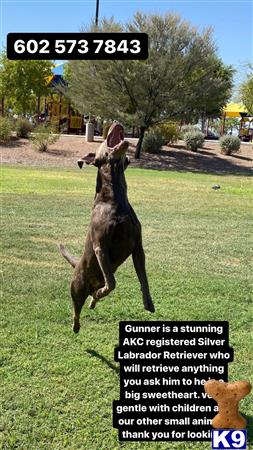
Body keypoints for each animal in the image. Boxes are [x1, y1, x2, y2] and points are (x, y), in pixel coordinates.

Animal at [58, 121, 154, 332]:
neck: (115, 198)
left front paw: (148, 302)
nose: (116, 122)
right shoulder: (100, 246)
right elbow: (111, 283)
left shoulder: (137, 247)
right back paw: (77, 324)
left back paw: (94, 300)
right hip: (77, 287)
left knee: (92, 296)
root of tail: (77, 264)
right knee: (76, 307)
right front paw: (102, 292)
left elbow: (143, 278)